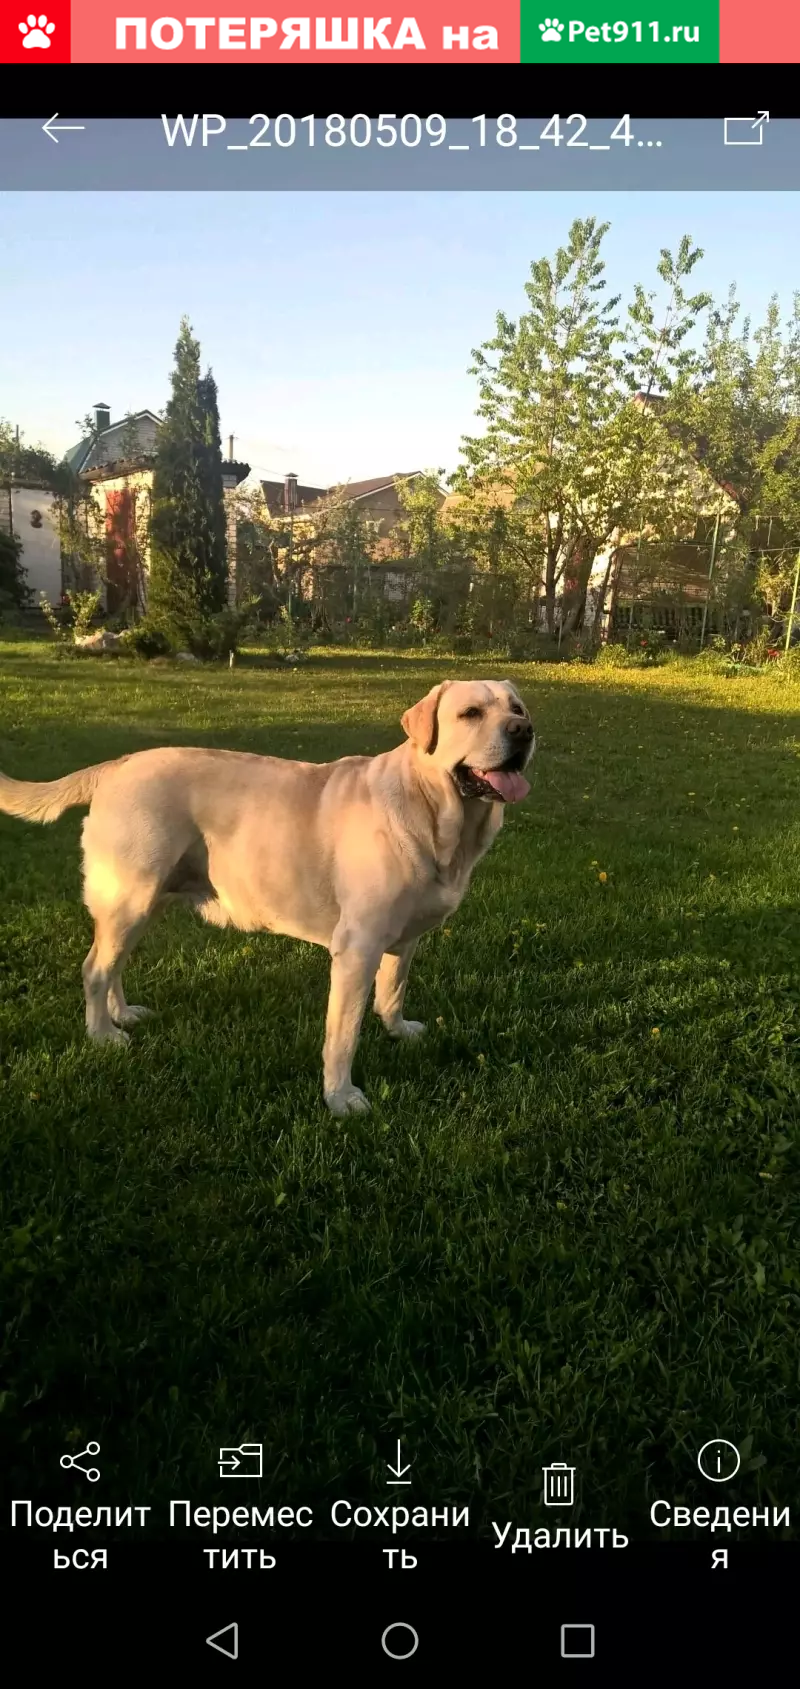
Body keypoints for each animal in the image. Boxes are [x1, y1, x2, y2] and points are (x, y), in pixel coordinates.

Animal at [3, 678, 536, 1114]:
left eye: (517, 708)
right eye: (470, 713)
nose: (524, 731)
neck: (434, 813)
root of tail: (118, 765)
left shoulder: (403, 940)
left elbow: (393, 990)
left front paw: (398, 1030)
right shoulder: (357, 948)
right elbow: (343, 1034)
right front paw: (341, 1098)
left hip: (142, 902)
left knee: (113, 964)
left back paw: (122, 1014)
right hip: (129, 896)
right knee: (96, 968)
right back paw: (102, 1035)